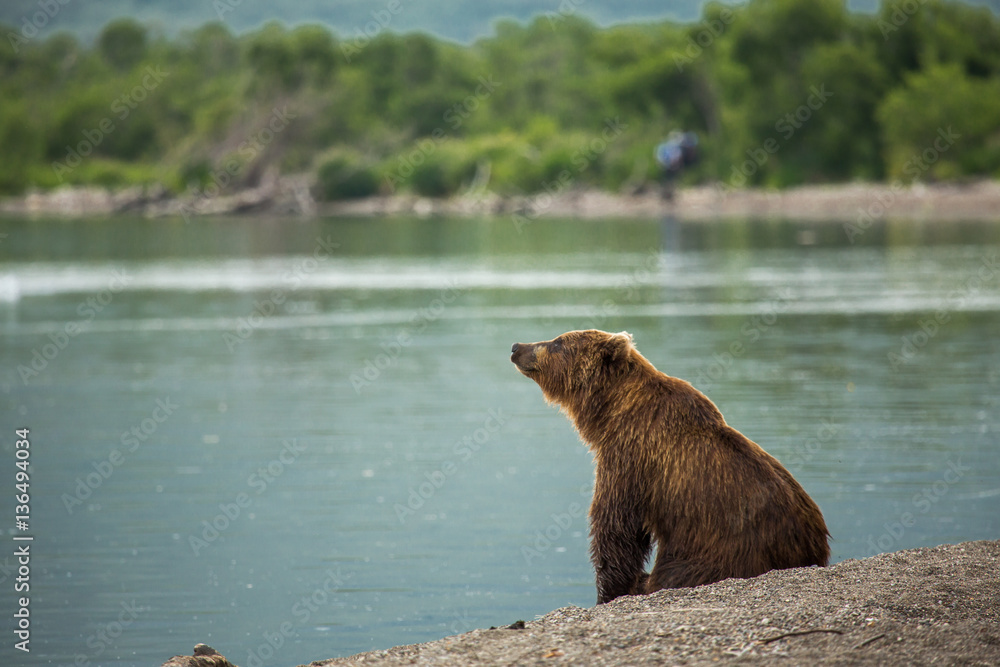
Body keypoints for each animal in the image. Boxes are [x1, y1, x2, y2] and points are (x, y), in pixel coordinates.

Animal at [510, 329, 830, 604]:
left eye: (558, 342)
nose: (516, 347)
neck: (613, 411)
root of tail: (815, 550)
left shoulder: (631, 456)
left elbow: (616, 524)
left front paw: (608, 592)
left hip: (721, 548)